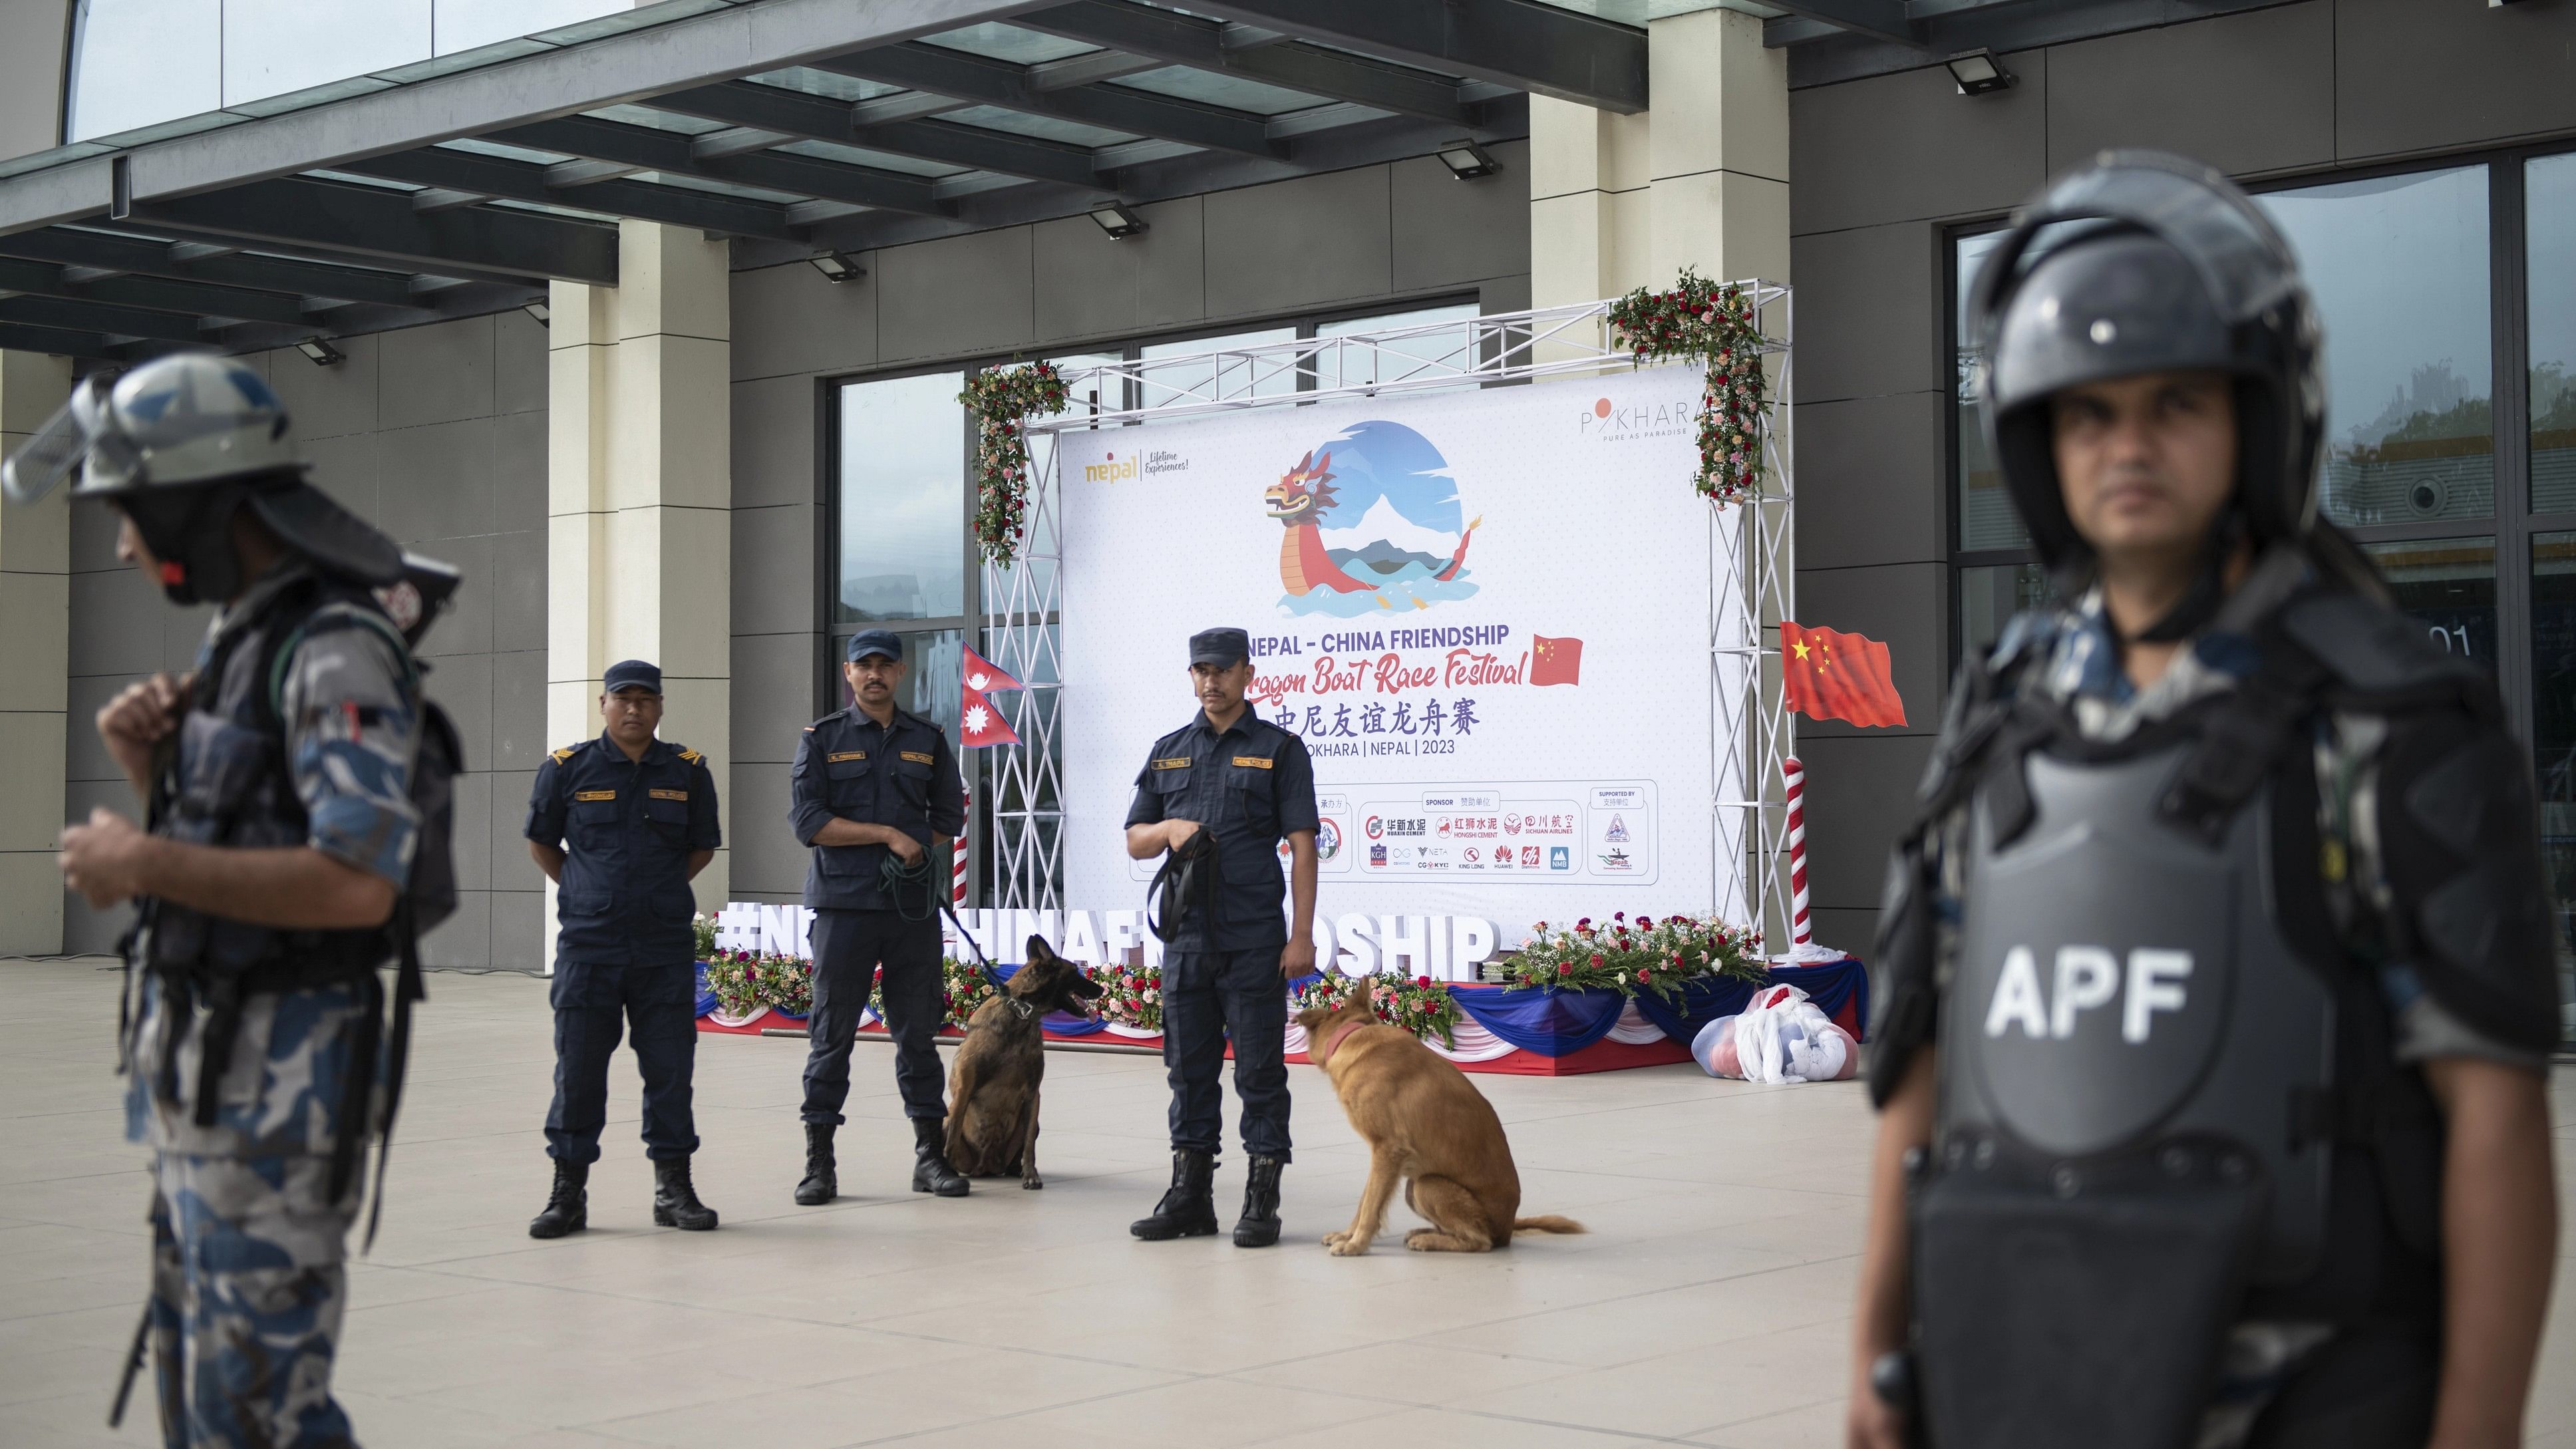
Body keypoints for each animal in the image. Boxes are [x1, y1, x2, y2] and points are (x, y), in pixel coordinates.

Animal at [953, 938, 1102, 1186]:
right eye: (1074, 972)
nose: (1102, 989)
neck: (1020, 1013)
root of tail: (986, 1167)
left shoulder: (1033, 1094)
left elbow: (1029, 1144)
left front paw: (1031, 1176)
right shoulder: (964, 1088)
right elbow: (951, 1139)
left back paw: (1018, 1170)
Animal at [1298, 969, 1576, 1253]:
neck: (1351, 1036)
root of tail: (1507, 1229)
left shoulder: (1387, 1149)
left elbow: (1370, 1205)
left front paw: (1356, 1244)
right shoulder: (1381, 1155)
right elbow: (1364, 1200)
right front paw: (1347, 1235)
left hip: (1426, 1186)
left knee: (1479, 1241)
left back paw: (1430, 1240)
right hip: (1414, 1187)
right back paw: (1427, 1232)